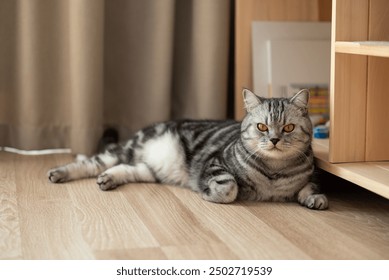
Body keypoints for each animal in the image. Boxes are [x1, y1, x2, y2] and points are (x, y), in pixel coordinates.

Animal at [47, 88, 328, 209]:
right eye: (261, 126)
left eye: (288, 128)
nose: (274, 140)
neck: (273, 171)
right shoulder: (214, 164)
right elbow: (229, 187)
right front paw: (210, 194)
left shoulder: (312, 175)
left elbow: (311, 186)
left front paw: (315, 199)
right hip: (125, 151)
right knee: (91, 163)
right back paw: (59, 173)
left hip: (151, 170)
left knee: (125, 168)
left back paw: (108, 179)